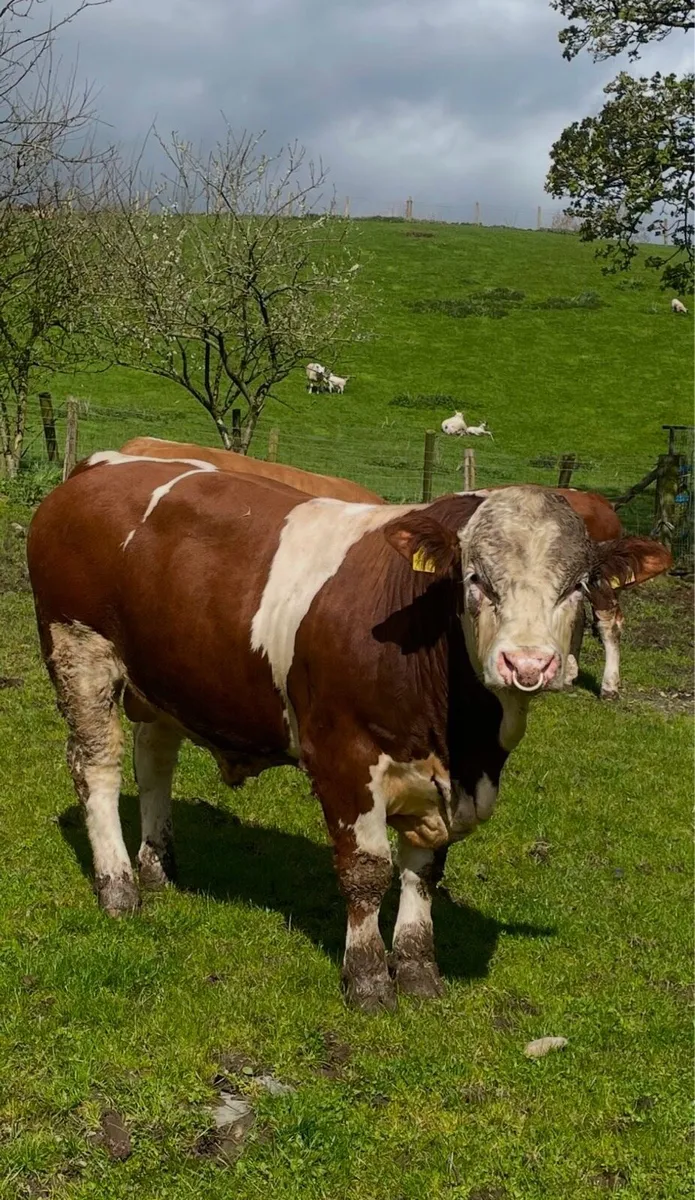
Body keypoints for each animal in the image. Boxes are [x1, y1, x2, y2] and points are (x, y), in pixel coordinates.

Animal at [27, 455, 670, 1011]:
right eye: (476, 579)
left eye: (578, 586)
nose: (528, 664)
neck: (464, 742)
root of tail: (101, 466)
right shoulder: (343, 754)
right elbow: (367, 869)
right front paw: (367, 978)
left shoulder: (443, 783)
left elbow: (423, 871)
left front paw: (418, 970)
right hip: (80, 651)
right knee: (97, 769)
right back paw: (118, 886)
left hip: (165, 678)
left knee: (154, 761)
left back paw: (157, 869)